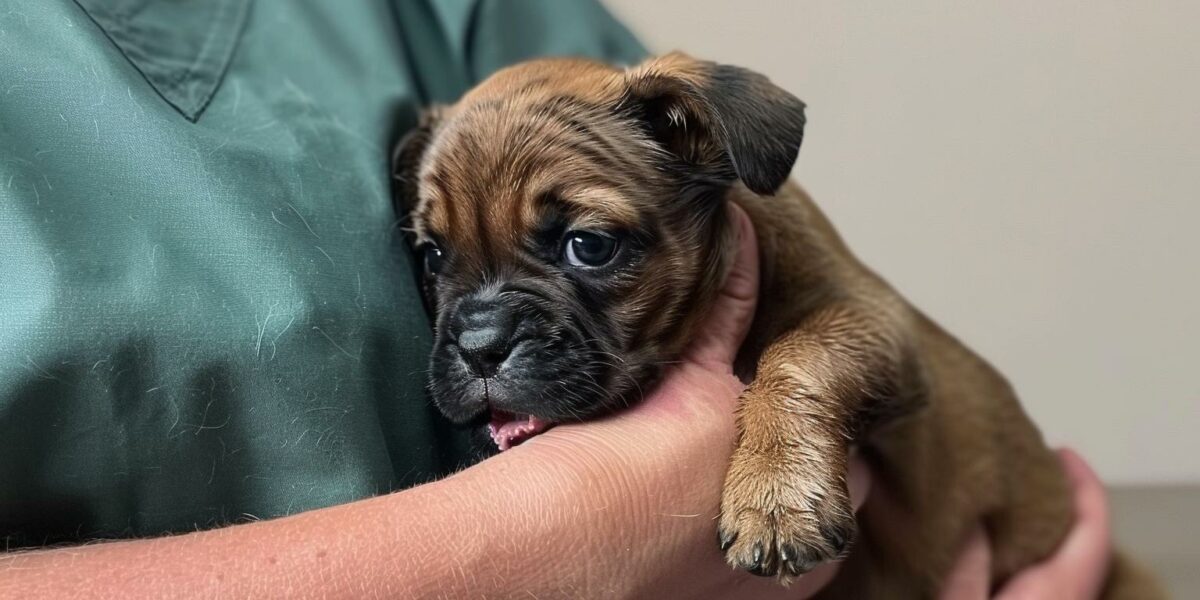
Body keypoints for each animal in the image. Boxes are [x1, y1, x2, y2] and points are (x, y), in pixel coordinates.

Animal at [393, 54, 1161, 597]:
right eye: (433, 258)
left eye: (589, 246)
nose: (480, 344)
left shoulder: (870, 319)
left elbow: (799, 357)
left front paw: (777, 492)